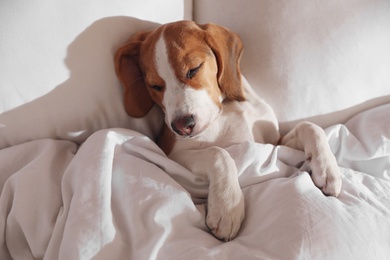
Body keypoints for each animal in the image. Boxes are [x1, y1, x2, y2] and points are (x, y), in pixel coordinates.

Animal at [113, 20, 342, 242]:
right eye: (155, 86)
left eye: (193, 69)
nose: (181, 126)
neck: (226, 107)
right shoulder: (172, 154)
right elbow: (218, 153)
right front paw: (227, 206)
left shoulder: (274, 143)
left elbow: (310, 126)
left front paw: (327, 168)